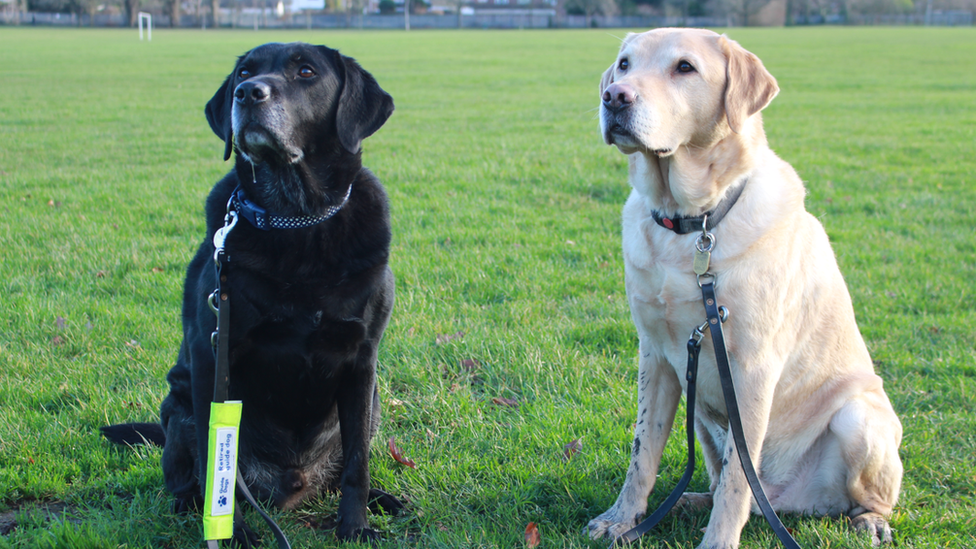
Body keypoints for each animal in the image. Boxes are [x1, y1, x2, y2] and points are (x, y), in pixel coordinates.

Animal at [101, 44, 398, 544]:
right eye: (244, 72)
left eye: (306, 71)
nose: (248, 93)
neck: (296, 220)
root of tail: (292, 486)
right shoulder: (212, 358)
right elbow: (216, 463)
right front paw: (231, 534)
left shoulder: (362, 360)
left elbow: (358, 460)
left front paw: (355, 526)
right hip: (178, 405)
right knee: (188, 475)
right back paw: (184, 504)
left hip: (373, 402)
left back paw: (384, 499)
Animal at [584, 31, 904, 548]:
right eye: (624, 64)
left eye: (685, 67)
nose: (614, 96)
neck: (693, 225)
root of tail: (787, 501)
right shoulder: (655, 355)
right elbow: (643, 451)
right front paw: (622, 518)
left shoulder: (752, 370)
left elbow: (738, 477)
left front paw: (717, 542)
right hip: (699, 410)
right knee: (722, 484)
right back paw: (688, 502)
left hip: (860, 419)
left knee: (838, 496)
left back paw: (869, 520)